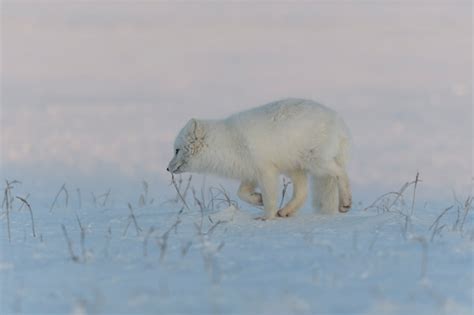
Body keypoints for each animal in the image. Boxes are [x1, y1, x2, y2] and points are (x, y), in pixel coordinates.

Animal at [168, 98, 352, 220]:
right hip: (294, 167)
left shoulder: (266, 171)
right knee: (303, 191)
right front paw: (257, 199)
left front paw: (266, 219)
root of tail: (339, 121)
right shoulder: (250, 171)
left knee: (341, 173)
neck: (227, 143)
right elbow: (241, 193)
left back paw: (345, 202)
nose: (167, 168)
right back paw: (286, 211)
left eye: (177, 150)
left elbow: (270, 198)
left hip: (315, 162)